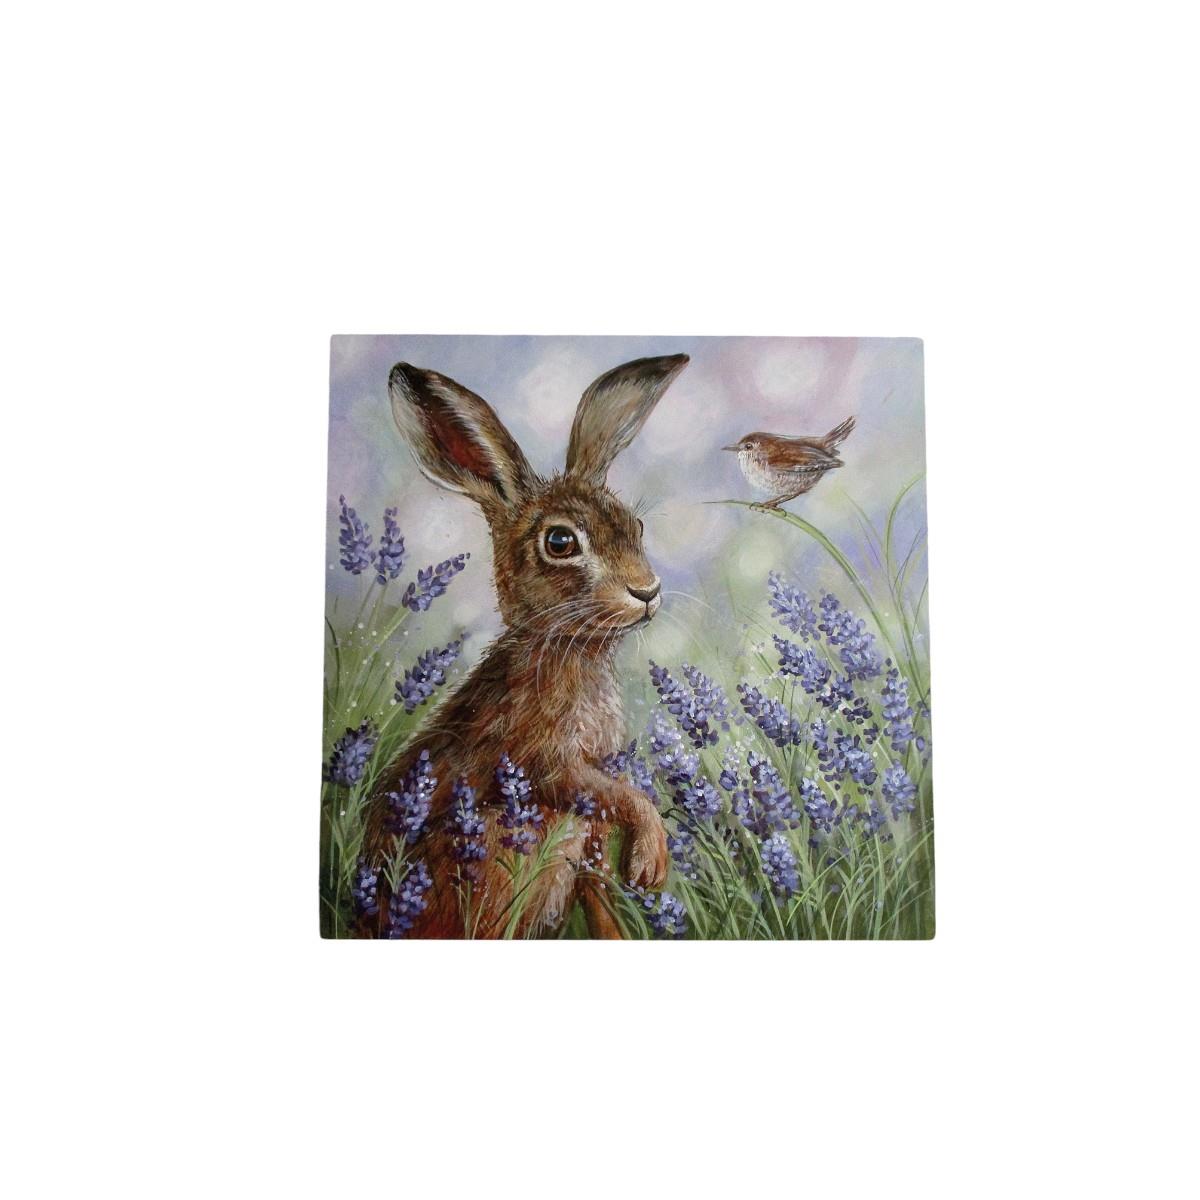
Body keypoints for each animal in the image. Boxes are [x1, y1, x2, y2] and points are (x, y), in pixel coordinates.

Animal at [359, 353, 689, 938]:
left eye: (636, 525)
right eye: (560, 542)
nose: (647, 591)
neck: (570, 648)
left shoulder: (592, 838)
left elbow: (602, 897)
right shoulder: (546, 760)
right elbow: (617, 796)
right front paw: (651, 861)